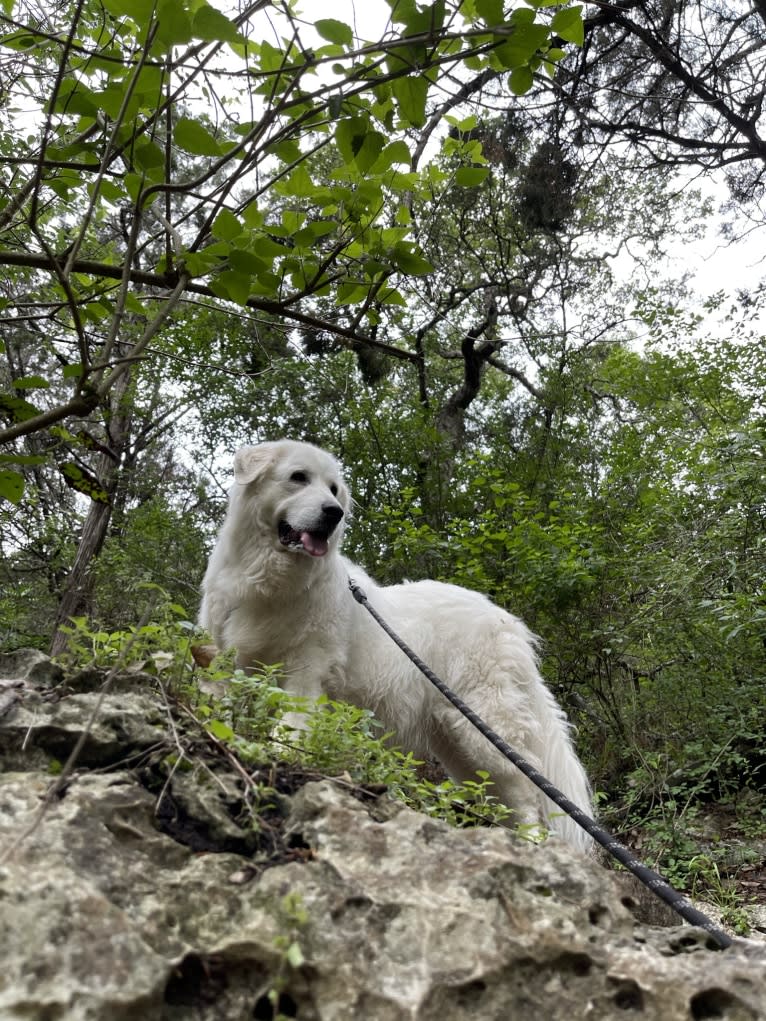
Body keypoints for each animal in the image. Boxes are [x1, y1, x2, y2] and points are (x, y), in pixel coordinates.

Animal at [201, 439, 596, 853]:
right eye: (298, 477)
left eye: (334, 489)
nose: (334, 513)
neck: (269, 580)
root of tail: (509, 622)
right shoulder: (230, 660)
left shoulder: (305, 673)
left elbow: (290, 725)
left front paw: (278, 755)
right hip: (457, 742)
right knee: (500, 795)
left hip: (485, 723)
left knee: (525, 791)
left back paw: (532, 844)